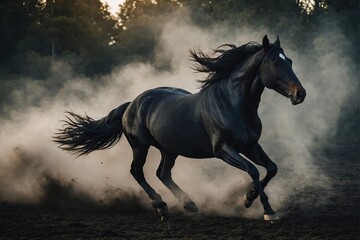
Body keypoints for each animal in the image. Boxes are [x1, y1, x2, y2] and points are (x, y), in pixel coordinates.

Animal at [54, 35, 306, 221]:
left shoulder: (251, 146)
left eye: (291, 61)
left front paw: (248, 198)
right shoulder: (223, 150)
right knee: (138, 172)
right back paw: (162, 206)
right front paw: (267, 210)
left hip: (169, 149)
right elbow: (253, 170)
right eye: (275, 63)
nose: (300, 94)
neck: (234, 104)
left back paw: (189, 204)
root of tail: (132, 103)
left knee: (163, 173)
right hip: (140, 146)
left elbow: (271, 168)